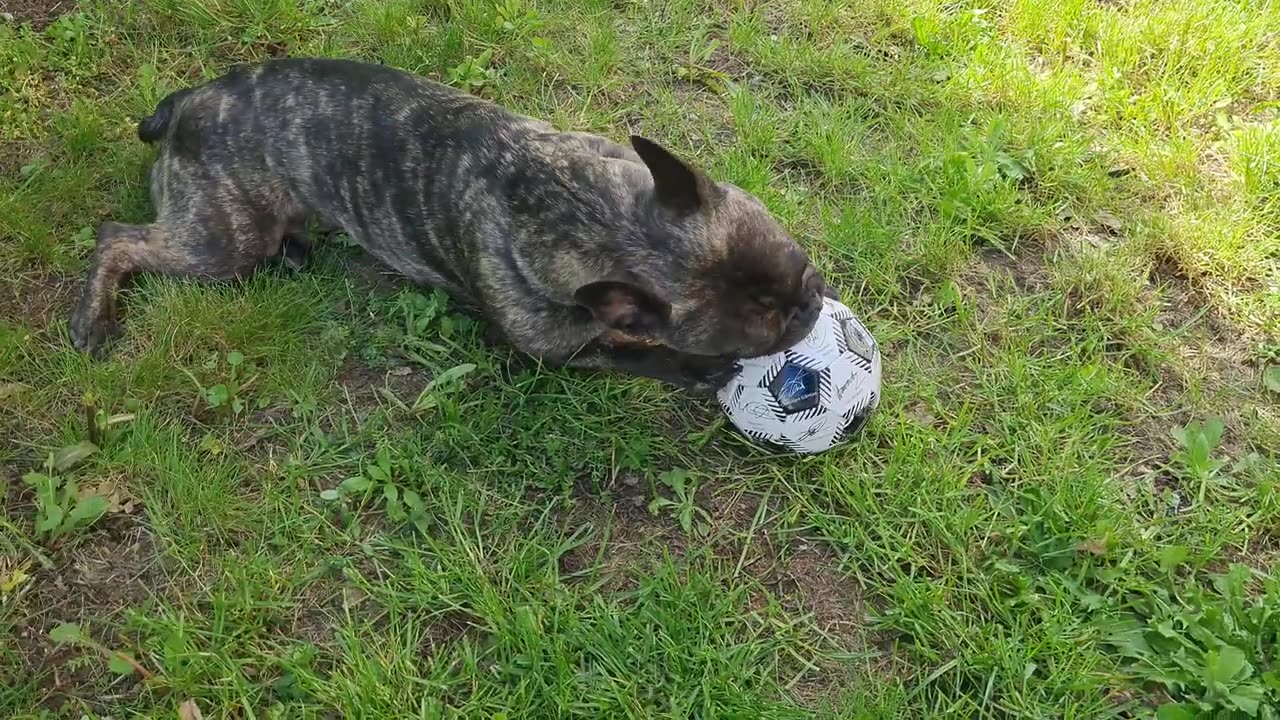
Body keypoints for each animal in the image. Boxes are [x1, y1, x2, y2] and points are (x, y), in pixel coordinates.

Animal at [70, 57, 829, 392]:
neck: (589, 212)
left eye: (799, 266)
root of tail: (185, 102)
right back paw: (95, 319)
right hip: (221, 242)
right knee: (116, 238)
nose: (812, 302)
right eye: (759, 329)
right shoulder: (556, 353)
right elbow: (631, 352)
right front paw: (691, 368)